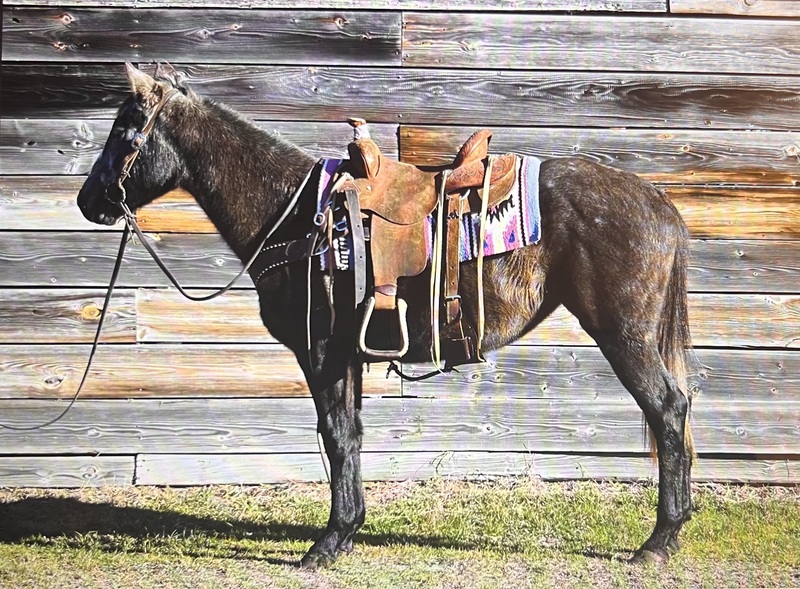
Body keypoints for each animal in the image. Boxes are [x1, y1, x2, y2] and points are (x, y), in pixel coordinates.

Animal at [77, 63, 695, 568]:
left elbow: (336, 435)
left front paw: (328, 543)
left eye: (126, 132)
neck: (296, 216)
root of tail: (658, 202)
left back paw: (659, 540)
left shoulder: (322, 353)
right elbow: (349, 435)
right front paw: (347, 532)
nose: (88, 201)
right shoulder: (345, 355)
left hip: (625, 336)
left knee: (667, 410)